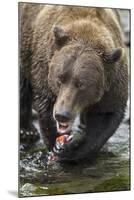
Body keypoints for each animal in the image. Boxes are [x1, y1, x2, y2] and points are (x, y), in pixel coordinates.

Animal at [19, 3, 127, 161]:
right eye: (60, 78)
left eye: (81, 84)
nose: (62, 114)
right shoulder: (44, 65)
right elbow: (46, 107)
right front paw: (56, 145)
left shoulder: (112, 82)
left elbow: (105, 114)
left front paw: (71, 147)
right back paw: (27, 131)